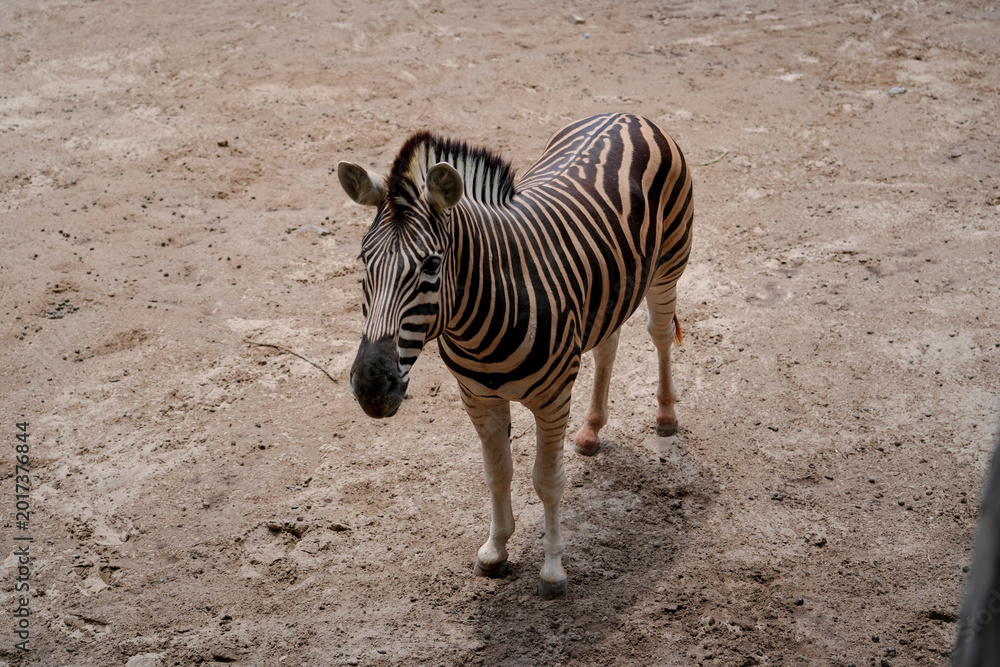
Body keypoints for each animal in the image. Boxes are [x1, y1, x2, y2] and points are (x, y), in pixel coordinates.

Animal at [338, 112, 693, 597]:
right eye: (363, 261)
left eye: (431, 265)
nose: (372, 386)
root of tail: (627, 116)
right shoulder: (478, 398)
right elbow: (497, 473)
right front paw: (496, 550)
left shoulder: (553, 399)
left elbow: (547, 481)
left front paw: (553, 570)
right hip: (609, 294)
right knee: (609, 345)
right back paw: (591, 430)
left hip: (668, 265)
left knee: (658, 334)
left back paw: (666, 414)